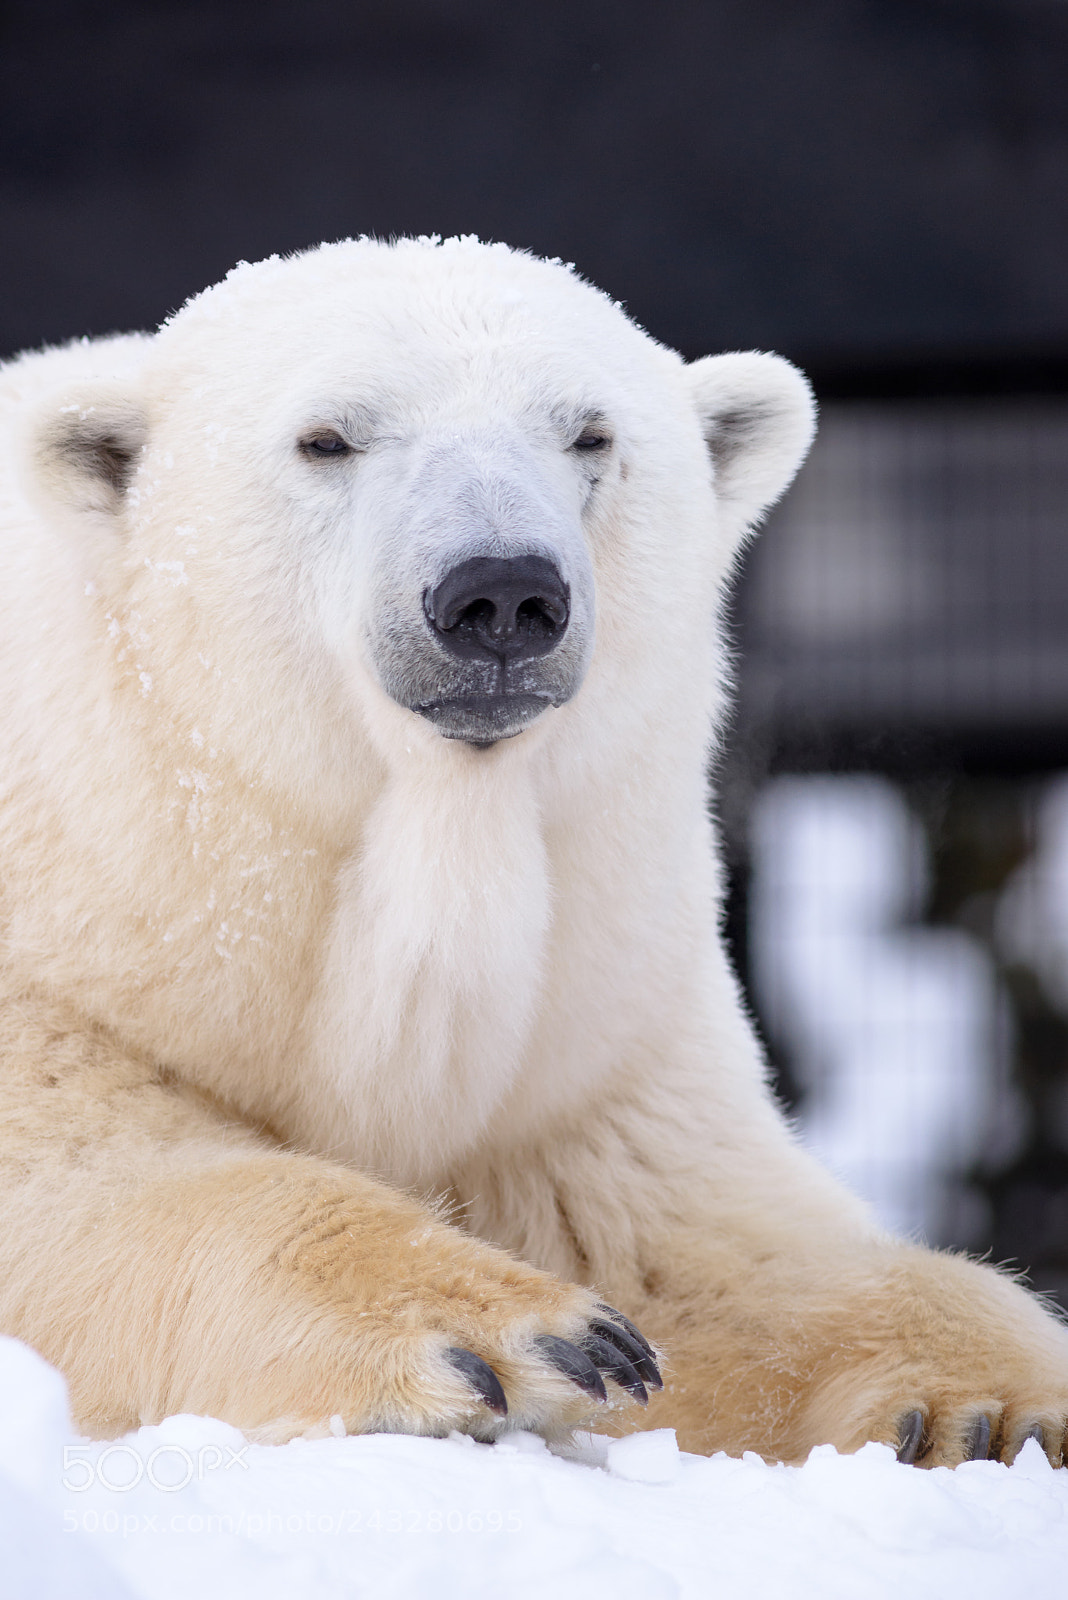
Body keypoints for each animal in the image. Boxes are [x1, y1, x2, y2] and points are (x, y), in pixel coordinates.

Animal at [0, 235, 1065, 1467]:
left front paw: (988, 1407)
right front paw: (519, 1335)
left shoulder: (589, 1034)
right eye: (327, 438)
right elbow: (79, 1173)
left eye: (590, 433)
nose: (501, 590)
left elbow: (709, 1251)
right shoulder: (83, 935)